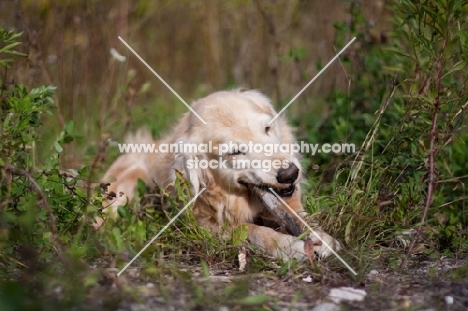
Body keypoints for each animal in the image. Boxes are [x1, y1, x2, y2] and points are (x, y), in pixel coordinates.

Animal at [102, 89, 340, 260]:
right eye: (235, 151)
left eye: (267, 129)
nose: (290, 174)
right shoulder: (203, 224)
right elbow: (251, 229)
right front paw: (291, 247)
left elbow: (300, 218)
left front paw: (320, 237)